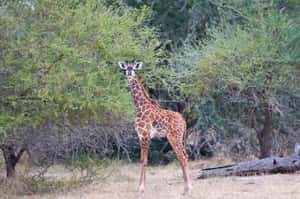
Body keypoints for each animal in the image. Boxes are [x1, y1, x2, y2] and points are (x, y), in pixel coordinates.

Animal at [118, 61, 192, 194]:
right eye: (125, 68)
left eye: (134, 68)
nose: (129, 72)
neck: (139, 107)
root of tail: (183, 121)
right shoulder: (140, 136)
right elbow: (142, 159)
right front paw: (140, 187)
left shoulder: (145, 135)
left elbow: (144, 160)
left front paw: (142, 188)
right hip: (179, 138)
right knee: (185, 156)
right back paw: (188, 187)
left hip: (174, 137)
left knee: (182, 157)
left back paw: (186, 189)